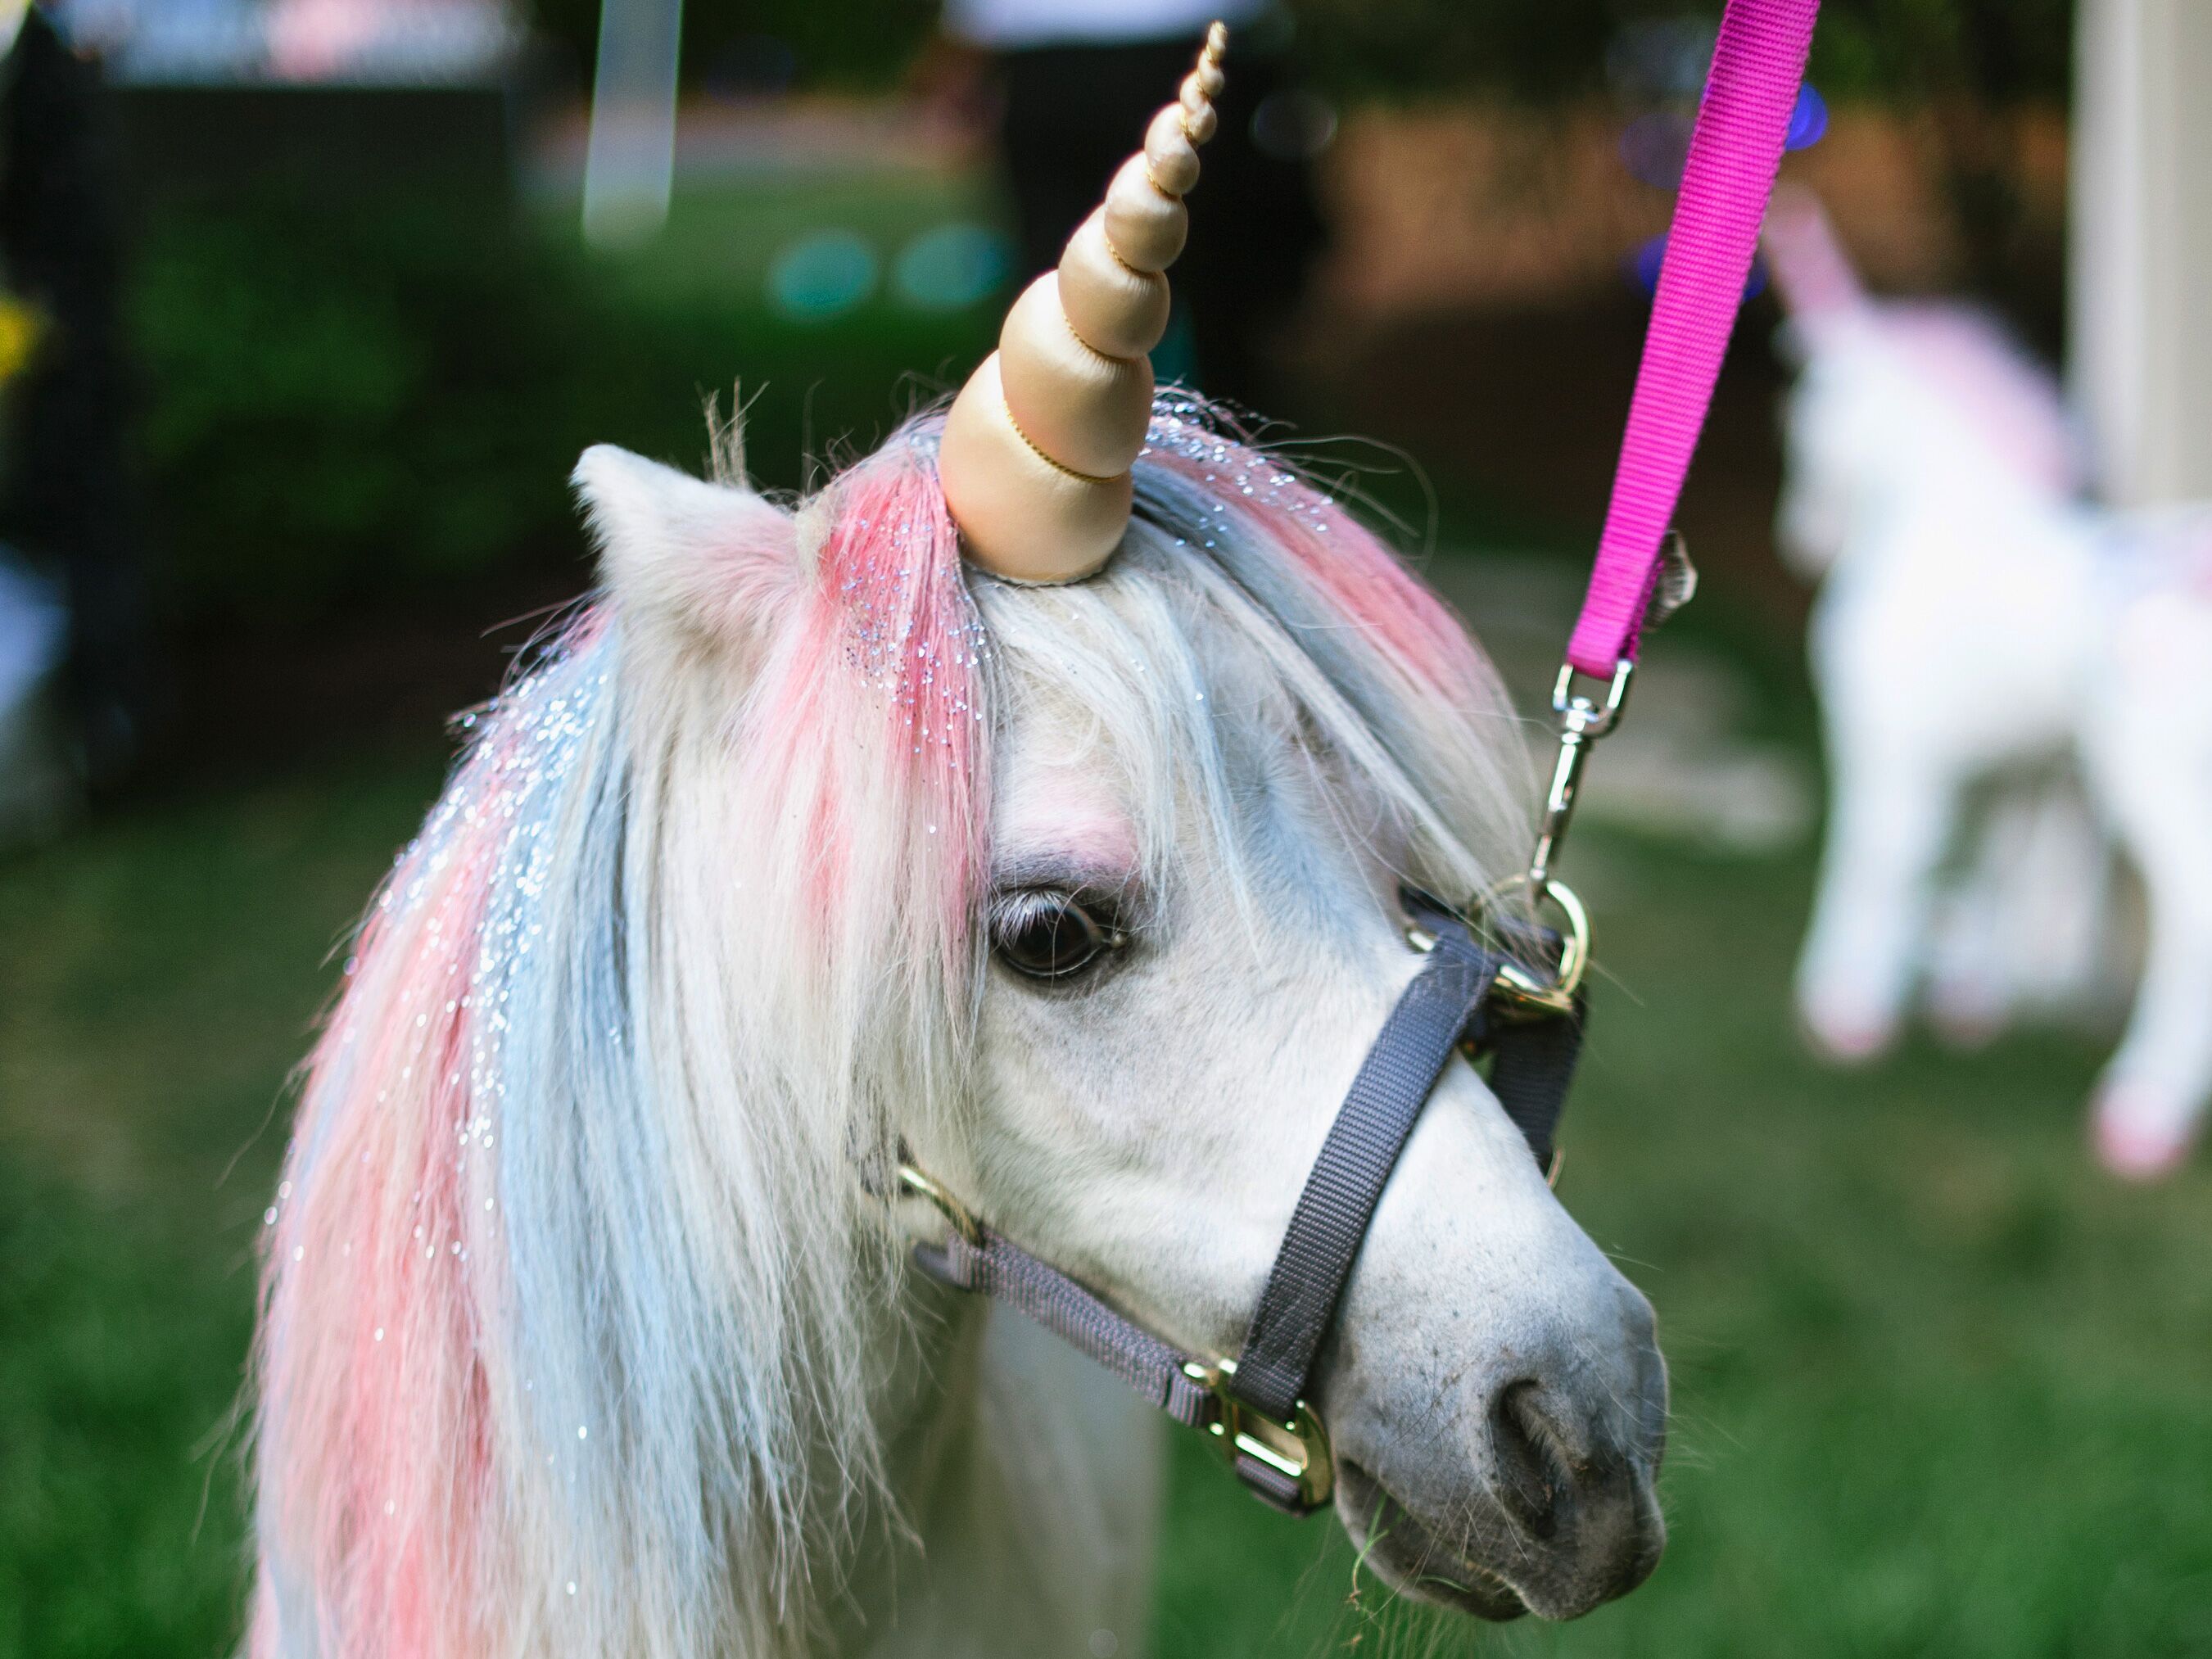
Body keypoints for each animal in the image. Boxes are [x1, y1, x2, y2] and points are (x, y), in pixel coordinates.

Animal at [1760, 191, 2212, 1185]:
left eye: (1803, 424)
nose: (1796, 543)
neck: (1938, 521)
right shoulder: (2017, 768)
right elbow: (1997, 872)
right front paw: (1972, 1010)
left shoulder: (1889, 754)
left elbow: (1877, 862)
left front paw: (1844, 1014)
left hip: (2167, 800)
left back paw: (2140, 1120)